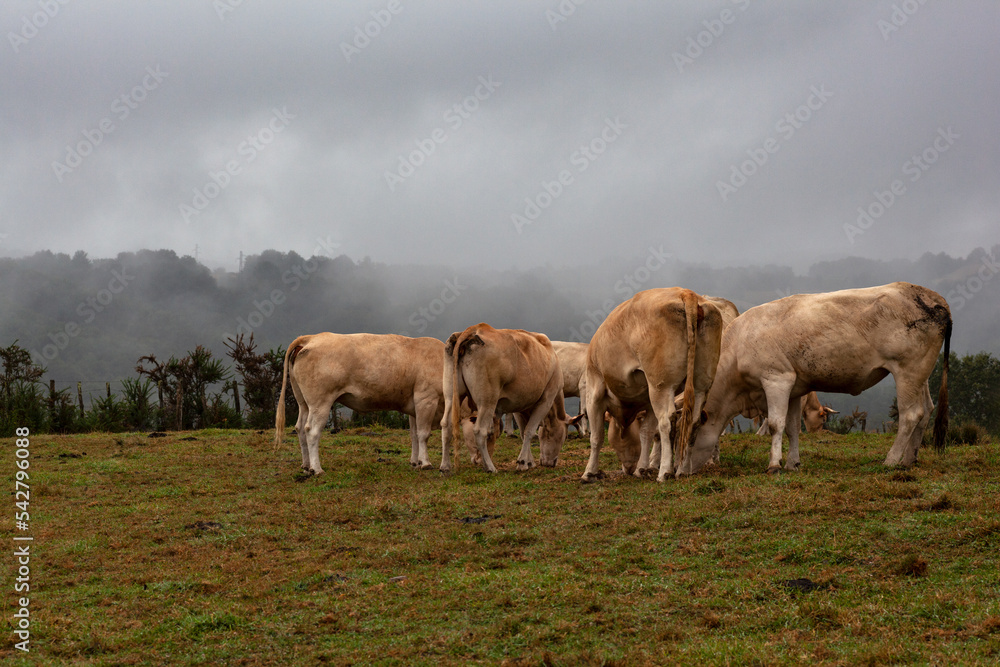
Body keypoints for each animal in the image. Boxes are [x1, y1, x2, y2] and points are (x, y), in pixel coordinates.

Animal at [274, 333, 446, 475]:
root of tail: (311, 337)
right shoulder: (426, 399)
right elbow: (423, 434)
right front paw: (426, 463)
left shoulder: (414, 406)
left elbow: (414, 435)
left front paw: (415, 462)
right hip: (320, 402)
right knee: (312, 430)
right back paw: (316, 469)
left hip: (303, 403)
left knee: (300, 428)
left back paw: (306, 465)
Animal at [440, 324, 566, 474]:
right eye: (561, 436)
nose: (551, 463)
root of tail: (475, 328)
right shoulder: (546, 400)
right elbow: (529, 431)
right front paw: (523, 462)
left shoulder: (520, 404)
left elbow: (523, 432)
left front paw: (528, 462)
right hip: (487, 400)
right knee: (479, 431)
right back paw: (490, 467)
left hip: (451, 396)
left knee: (446, 425)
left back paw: (445, 467)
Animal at [583, 288, 724, 482]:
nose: (628, 468)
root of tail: (685, 293)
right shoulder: (648, 401)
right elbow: (646, 433)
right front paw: (641, 468)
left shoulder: (594, 391)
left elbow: (596, 437)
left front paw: (589, 472)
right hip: (701, 384)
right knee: (692, 422)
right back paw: (683, 470)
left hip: (661, 386)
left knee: (667, 421)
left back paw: (665, 472)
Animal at [681, 282, 951, 474]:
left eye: (691, 435)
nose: (681, 472)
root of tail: (932, 296)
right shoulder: (794, 389)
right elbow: (792, 428)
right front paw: (792, 463)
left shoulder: (776, 379)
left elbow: (775, 424)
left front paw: (774, 465)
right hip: (921, 374)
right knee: (926, 410)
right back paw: (909, 459)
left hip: (907, 371)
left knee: (911, 414)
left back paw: (892, 460)